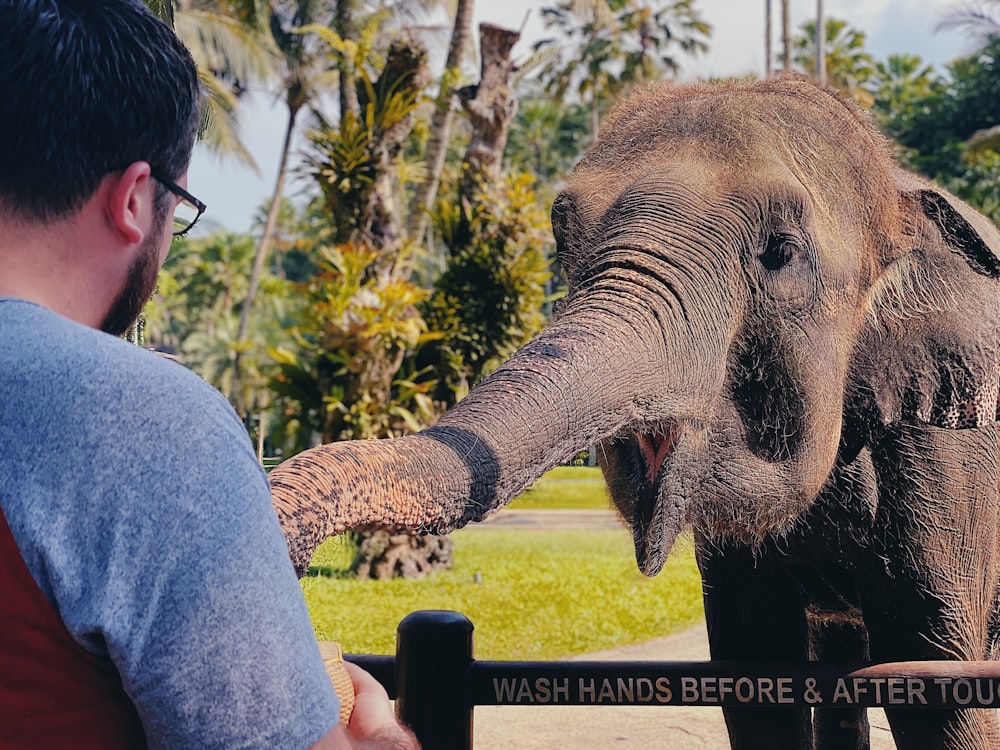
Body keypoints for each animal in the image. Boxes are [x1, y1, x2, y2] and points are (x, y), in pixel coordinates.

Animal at [270, 78, 1000, 750]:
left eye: (781, 252)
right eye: (562, 236)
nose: (297, 575)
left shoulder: (944, 458)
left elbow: (937, 682)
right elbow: (755, 672)